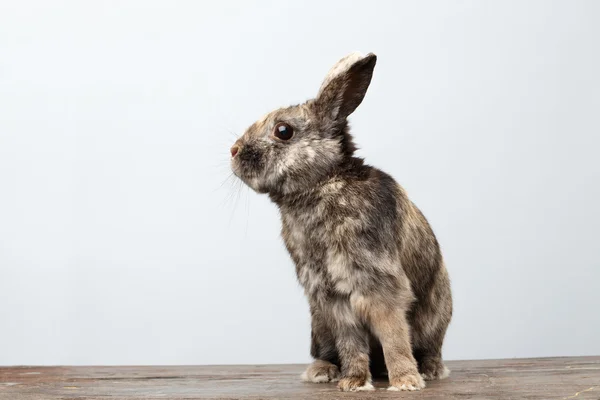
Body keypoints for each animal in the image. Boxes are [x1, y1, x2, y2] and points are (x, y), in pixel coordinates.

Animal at [229, 51, 450, 392]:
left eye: (283, 130)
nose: (233, 151)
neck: (322, 184)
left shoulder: (377, 285)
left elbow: (393, 336)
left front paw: (405, 382)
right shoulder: (330, 298)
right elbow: (351, 344)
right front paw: (354, 382)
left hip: (435, 319)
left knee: (428, 347)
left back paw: (429, 370)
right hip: (318, 326)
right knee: (328, 351)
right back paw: (322, 372)